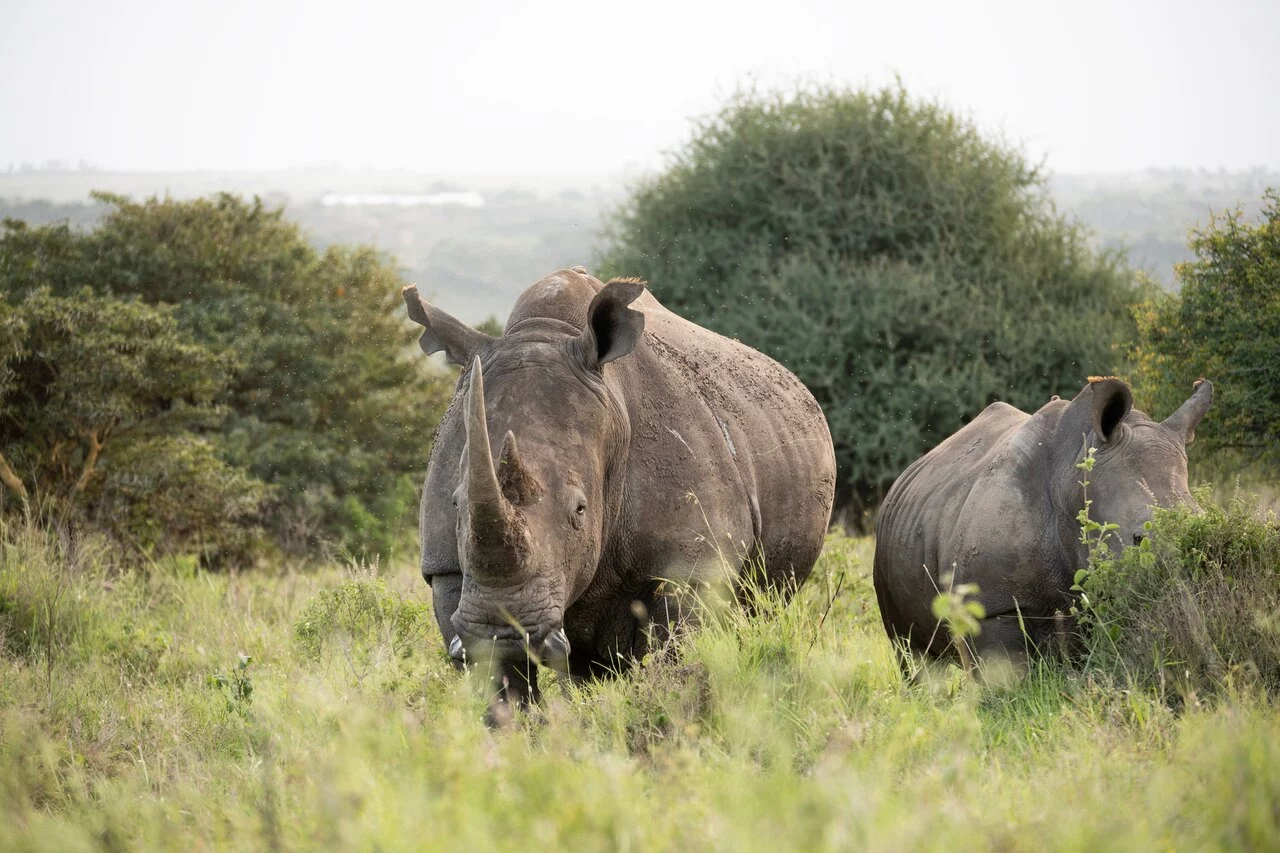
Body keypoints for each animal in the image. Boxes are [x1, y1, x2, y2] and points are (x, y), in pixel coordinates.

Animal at [403, 267, 835, 708]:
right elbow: (501, 688)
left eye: (580, 510)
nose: (502, 633)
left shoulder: (695, 567)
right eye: (457, 504)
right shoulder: (447, 568)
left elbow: (677, 664)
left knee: (760, 612)